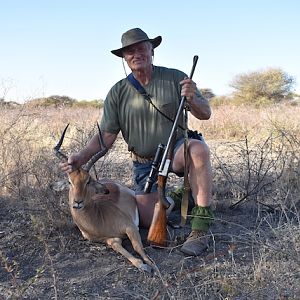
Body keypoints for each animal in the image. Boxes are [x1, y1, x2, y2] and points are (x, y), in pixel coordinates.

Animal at [51, 123, 154, 274]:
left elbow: (137, 247)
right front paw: (141, 264)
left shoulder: (130, 227)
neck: (98, 218)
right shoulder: (111, 239)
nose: (77, 202)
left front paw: (151, 265)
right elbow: (120, 248)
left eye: (88, 180)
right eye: (70, 181)